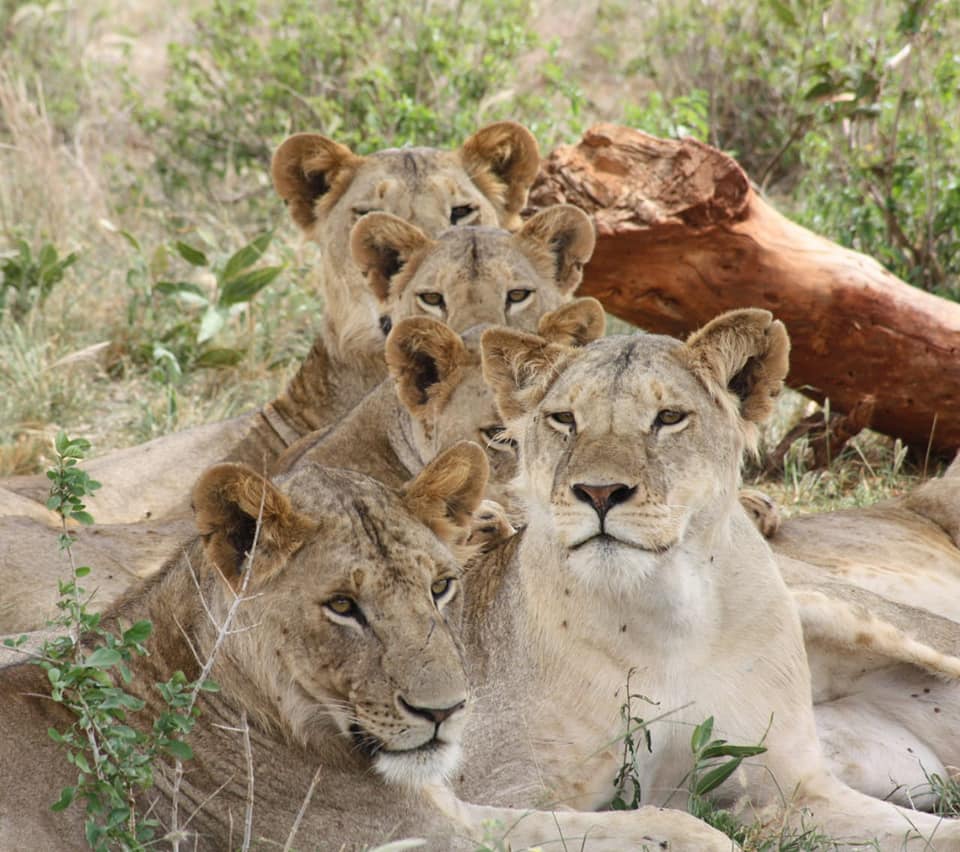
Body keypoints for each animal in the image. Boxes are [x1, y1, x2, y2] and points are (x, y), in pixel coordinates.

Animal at [0, 446, 728, 852]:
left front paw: (694, 833)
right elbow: (569, 838)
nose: (445, 712)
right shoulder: (408, 840)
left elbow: (567, 825)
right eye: (343, 607)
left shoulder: (447, 813)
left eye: (440, 587)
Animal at [466, 310, 960, 848]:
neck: (662, 616)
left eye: (668, 417)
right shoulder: (491, 791)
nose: (599, 492)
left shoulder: (795, 790)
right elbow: (663, 823)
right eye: (564, 420)